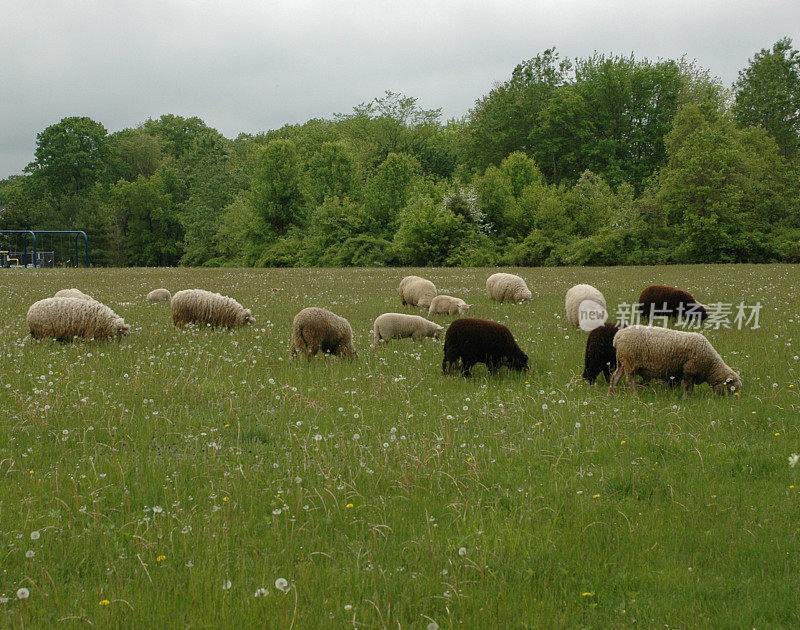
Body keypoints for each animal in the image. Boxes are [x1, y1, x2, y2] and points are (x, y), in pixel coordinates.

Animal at [612, 326, 744, 400]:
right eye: (731, 388)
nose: (730, 403)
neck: (711, 366)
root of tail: (618, 335)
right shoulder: (689, 369)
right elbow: (686, 386)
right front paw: (685, 399)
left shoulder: (692, 373)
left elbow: (690, 387)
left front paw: (690, 397)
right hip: (630, 362)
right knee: (629, 382)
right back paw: (634, 396)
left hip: (622, 362)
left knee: (615, 377)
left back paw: (612, 393)